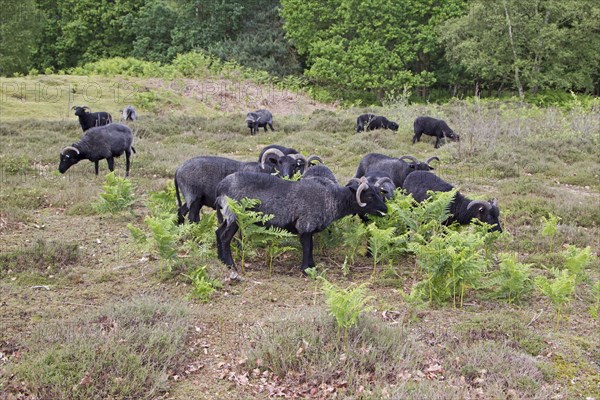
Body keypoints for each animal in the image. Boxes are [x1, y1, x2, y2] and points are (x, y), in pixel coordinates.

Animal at [216, 173, 390, 274]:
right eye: (369, 195)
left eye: (379, 192)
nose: (385, 209)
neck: (331, 198)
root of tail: (221, 186)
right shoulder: (306, 225)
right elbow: (308, 247)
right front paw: (306, 269)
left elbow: (310, 247)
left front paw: (312, 266)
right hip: (235, 215)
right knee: (225, 238)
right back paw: (232, 266)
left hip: (226, 216)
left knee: (218, 233)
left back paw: (221, 260)